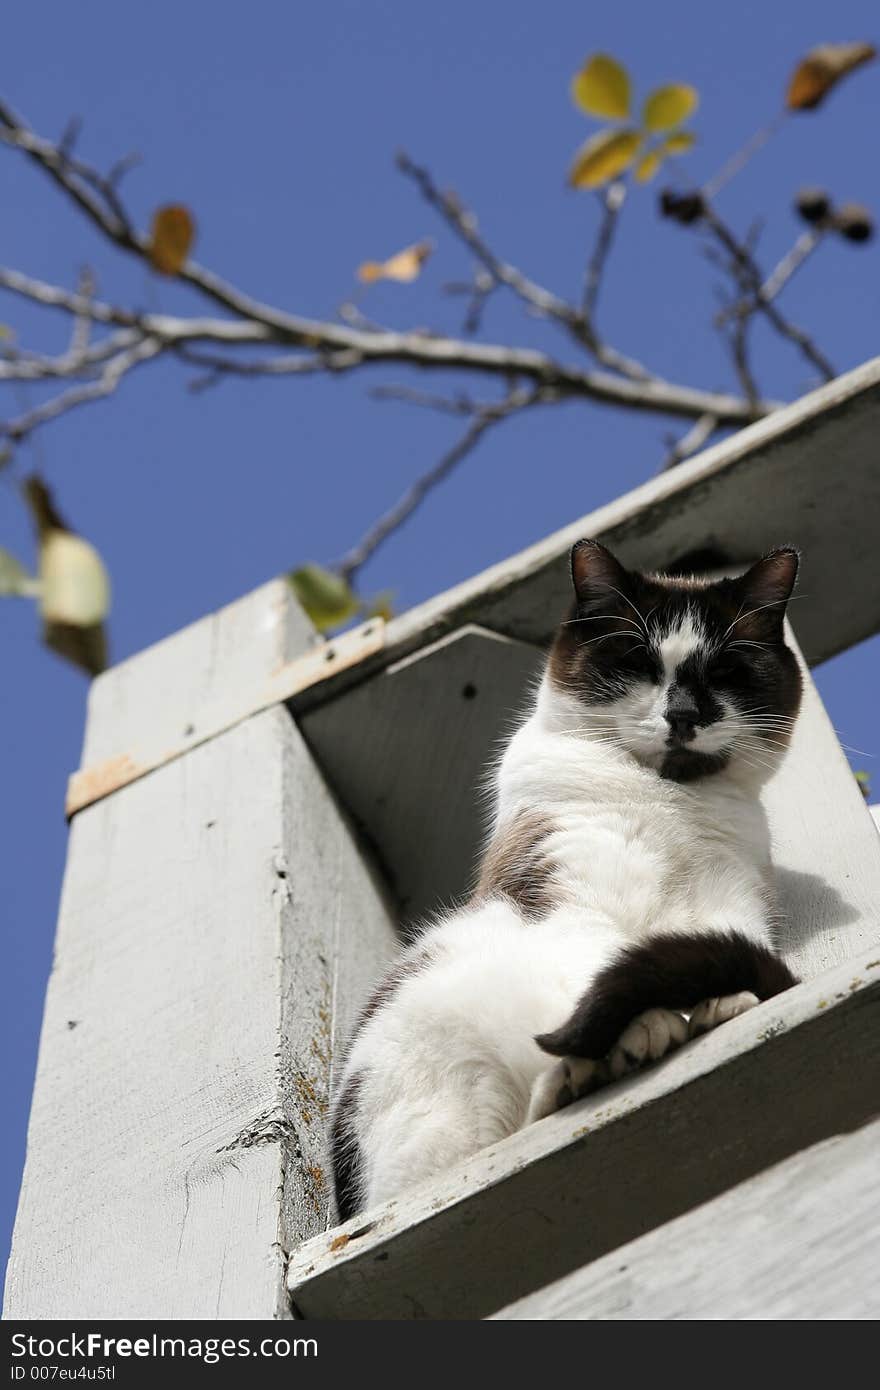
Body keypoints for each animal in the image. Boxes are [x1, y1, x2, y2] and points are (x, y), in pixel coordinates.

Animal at [329, 539, 800, 1217]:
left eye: (726, 672)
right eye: (637, 663)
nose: (684, 714)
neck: (673, 801)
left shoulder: (731, 900)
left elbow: (715, 952)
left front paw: (719, 1005)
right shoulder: (571, 900)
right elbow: (603, 974)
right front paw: (641, 1028)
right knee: (519, 1118)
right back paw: (599, 1064)